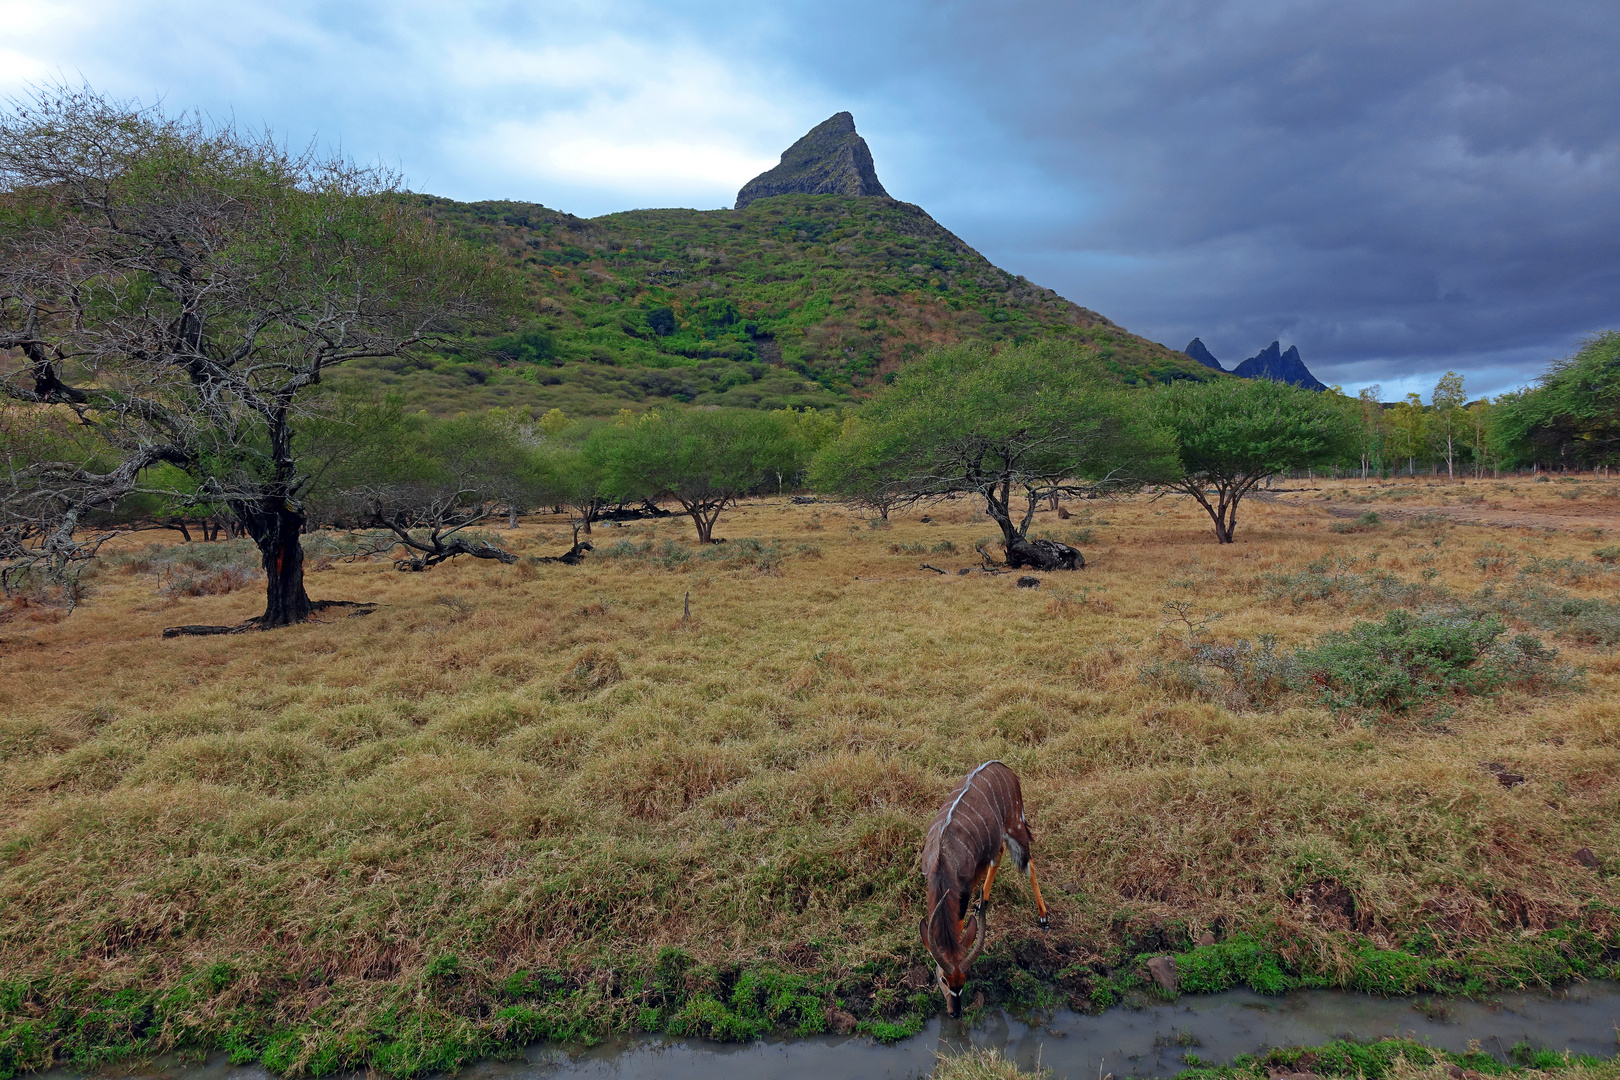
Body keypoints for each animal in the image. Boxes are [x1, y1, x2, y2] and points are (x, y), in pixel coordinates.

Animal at [926, 757, 1049, 1016]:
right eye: (943, 980)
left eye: (964, 980)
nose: (955, 1012)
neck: (943, 861)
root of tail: (1003, 767)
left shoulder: (962, 889)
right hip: (999, 837)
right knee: (999, 853)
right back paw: (983, 901)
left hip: (1015, 827)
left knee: (1028, 862)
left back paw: (1044, 917)